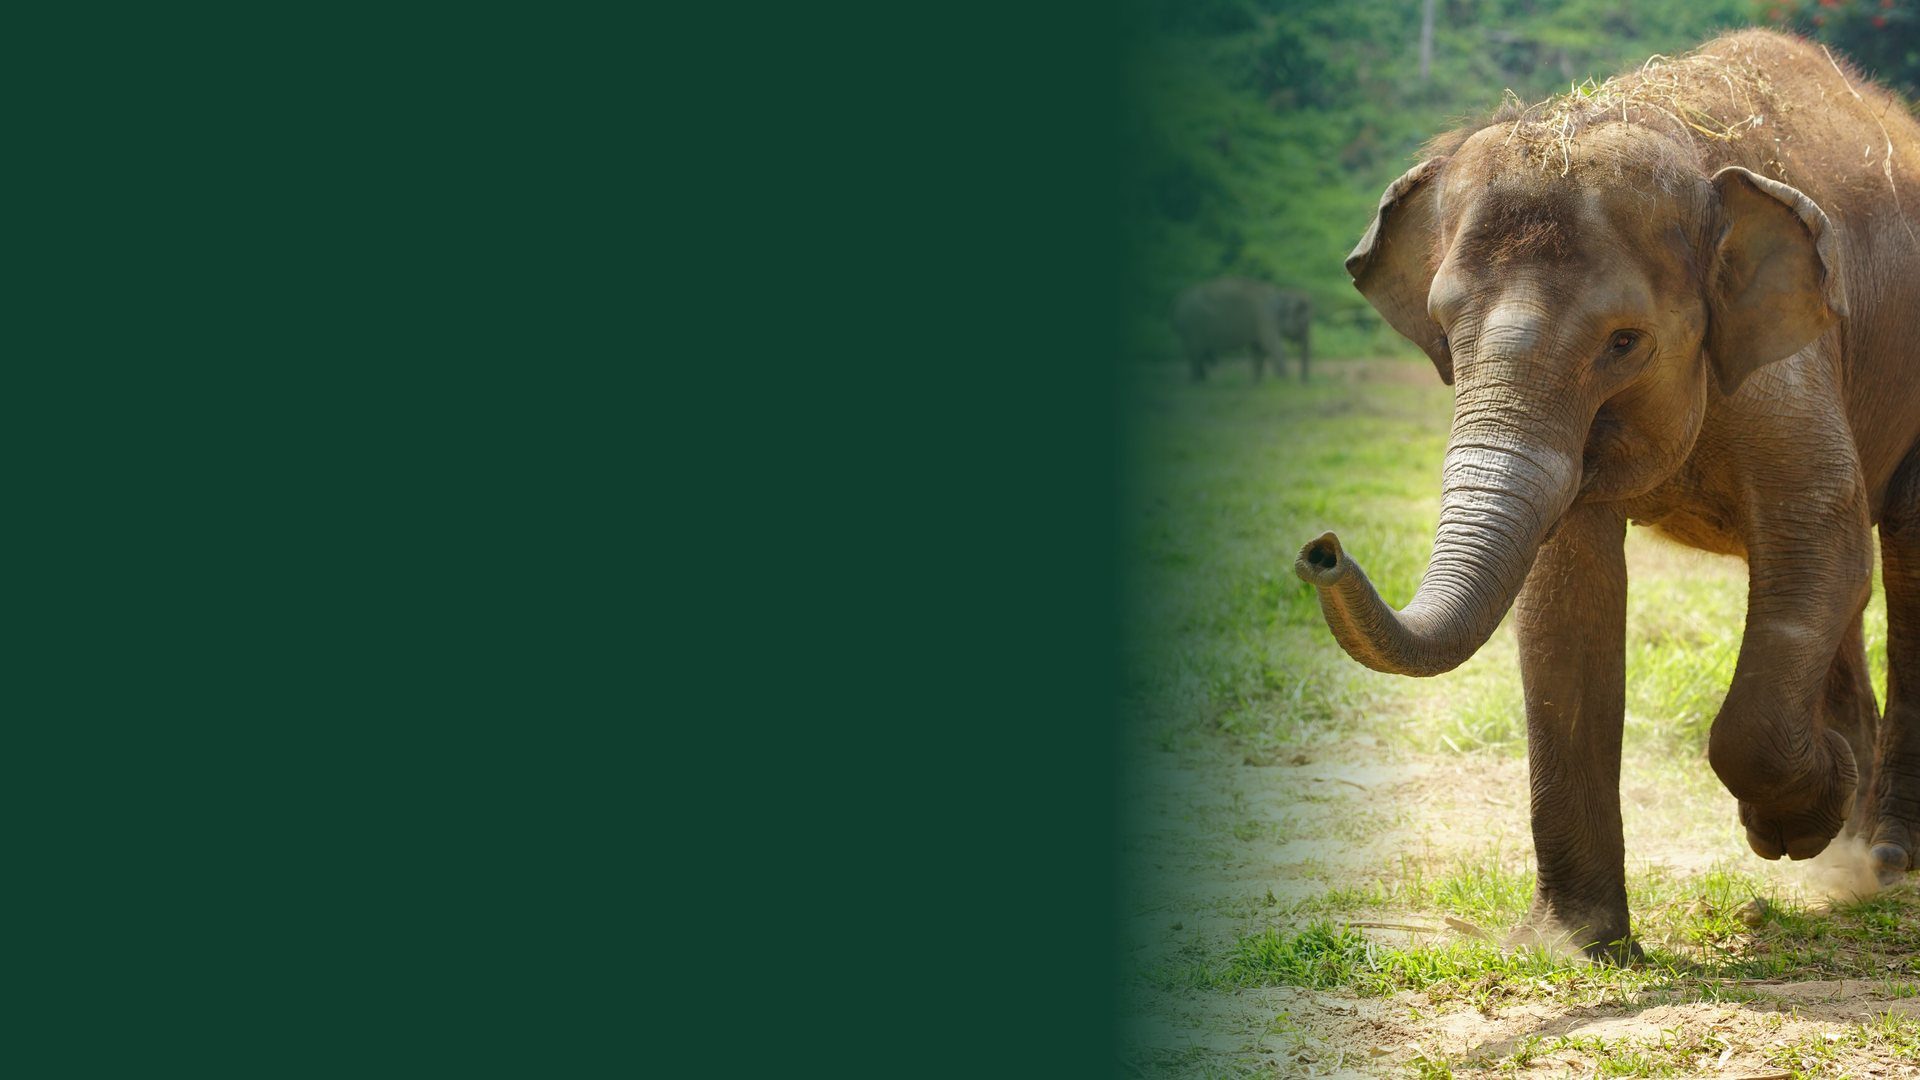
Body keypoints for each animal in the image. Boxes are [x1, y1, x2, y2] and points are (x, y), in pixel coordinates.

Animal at [1173, 277, 1311, 382]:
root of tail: (1177, 305)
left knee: (1197, 354)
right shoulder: (1265, 318)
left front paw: (1256, 384)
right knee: (1196, 353)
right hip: (1193, 326)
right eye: (1302, 322)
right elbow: (1273, 347)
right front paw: (1284, 382)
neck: (1282, 293)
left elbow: (1258, 351)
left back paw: (1202, 381)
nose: (1303, 384)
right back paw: (1198, 383)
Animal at [1290, 30, 1920, 961]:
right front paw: (1574, 947)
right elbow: (1566, 592)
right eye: (1444, 333)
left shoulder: (1791, 355)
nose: (1321, 551)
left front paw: (1793, 826)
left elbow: (1819, 532)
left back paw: (1881, 854)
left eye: (1625, 342)